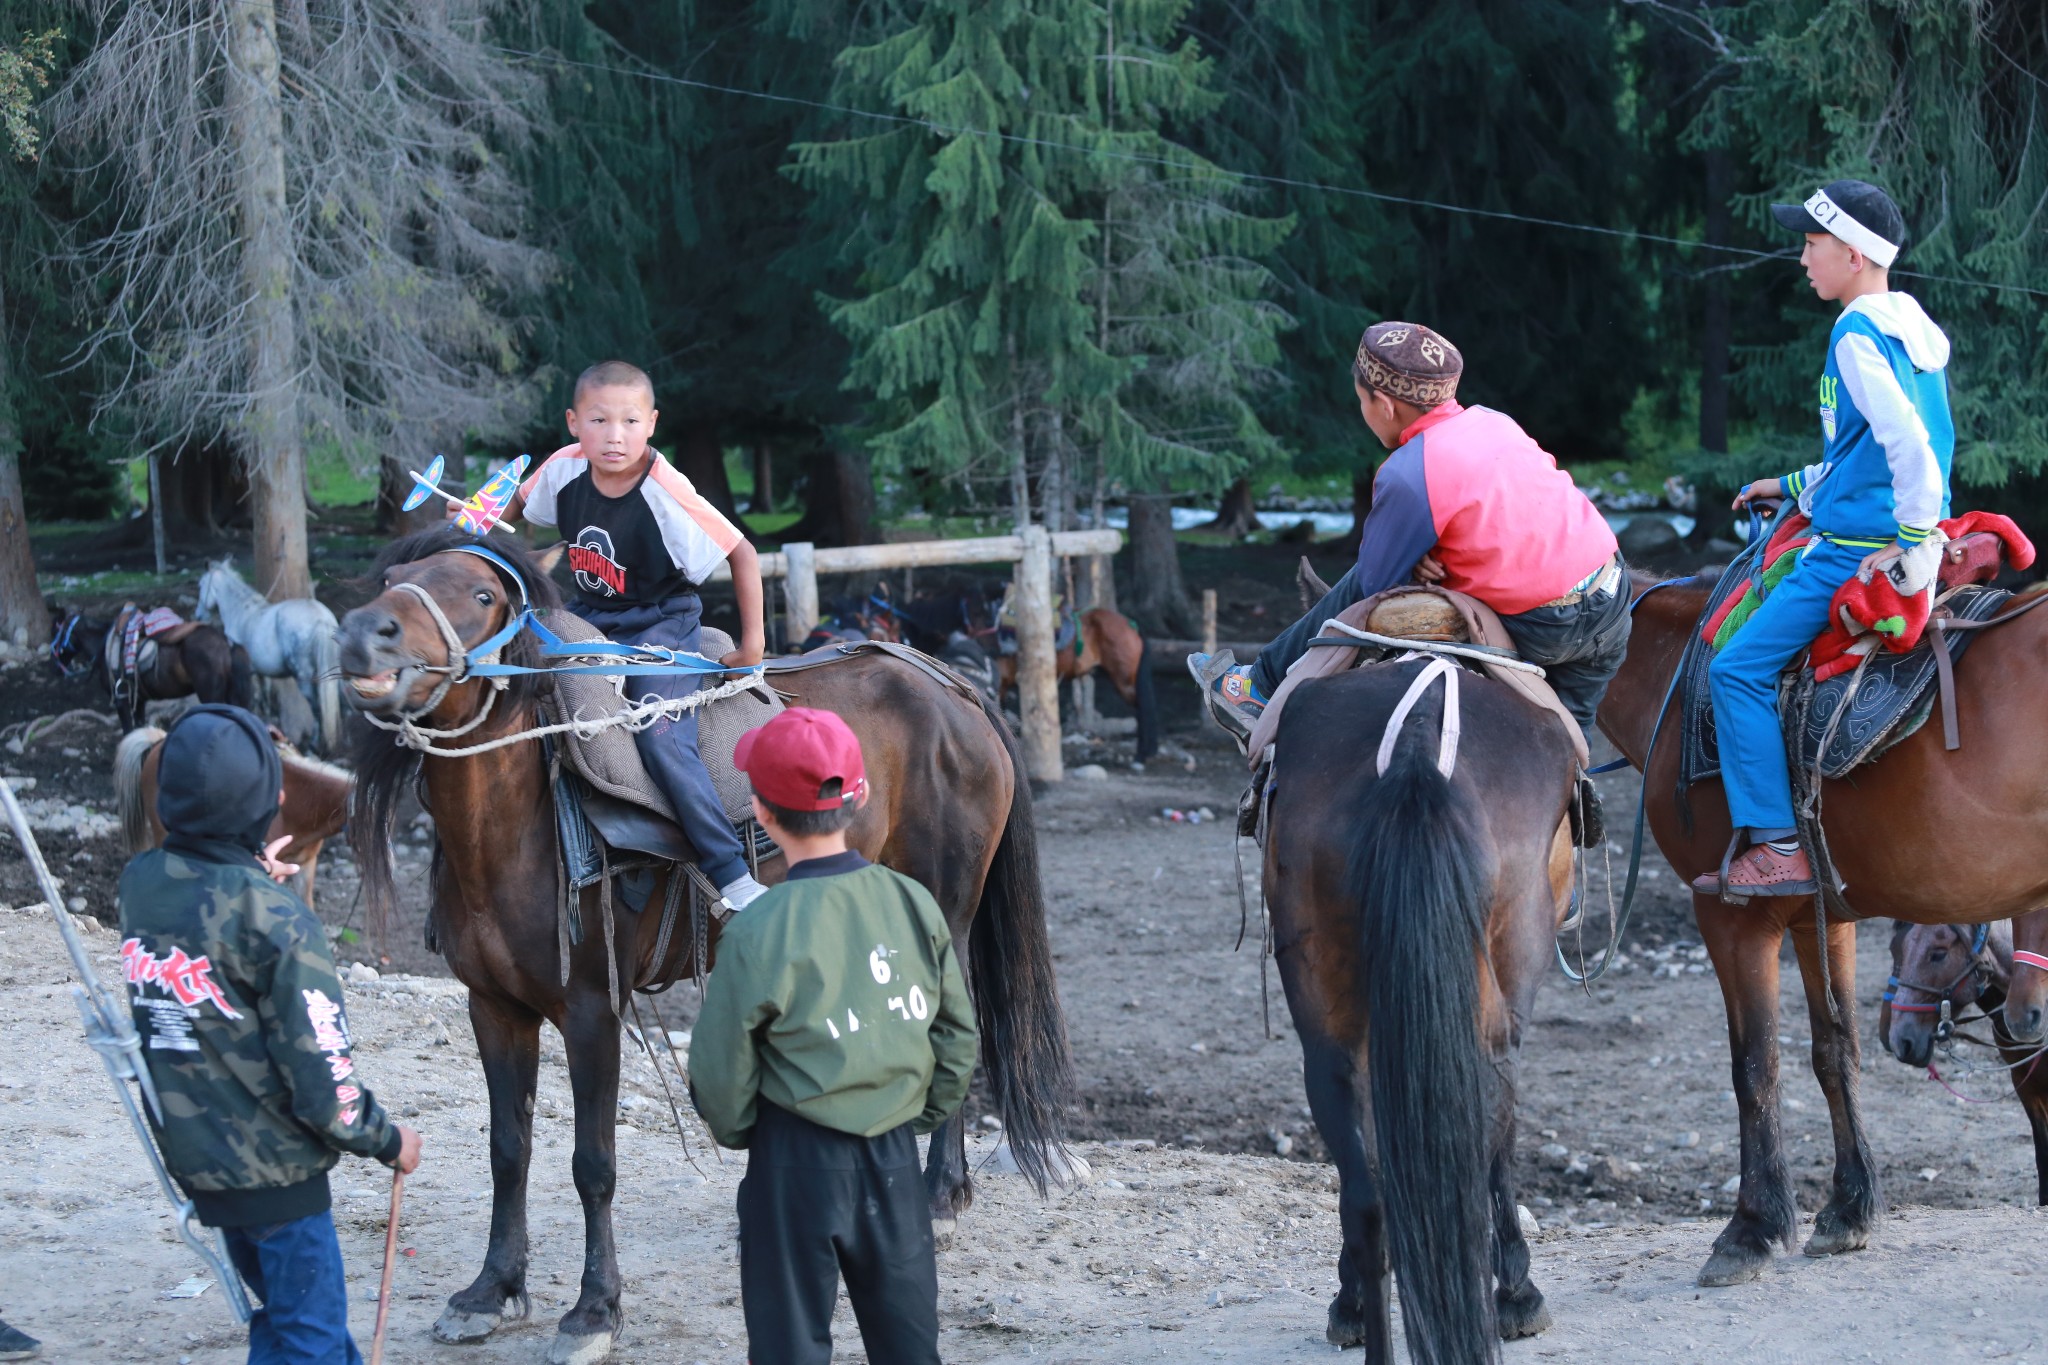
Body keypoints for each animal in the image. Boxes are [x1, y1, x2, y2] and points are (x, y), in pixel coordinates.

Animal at [50, 601, 251, 732]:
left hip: (211, 696)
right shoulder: (139, 700)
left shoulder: (121, 700)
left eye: (54, 631)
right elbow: (139, 730)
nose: (52, 665)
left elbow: (128, 732)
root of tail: (227, 643)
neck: (103, 643)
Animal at [193, 564, 342, 757]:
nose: (198, 615)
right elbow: (265, 699)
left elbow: (254, 699)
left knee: (316, 708)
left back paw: (314, 746)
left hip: (304, 677)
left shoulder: (247, 673)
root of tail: (322, 618)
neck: (242, 613)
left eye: (201, 585)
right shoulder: (261, 672)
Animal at [331, 527, 1073, 1365]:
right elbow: (508, 1149)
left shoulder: (592, 1010)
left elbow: (593, 1163)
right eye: (394, 576)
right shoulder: (492, 1006)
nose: (362, 635)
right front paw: (492, 1288)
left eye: (483, 594)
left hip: (945, 907)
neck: (521, 819)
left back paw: (942, 1197)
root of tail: (951, 685)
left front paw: (595, 1310)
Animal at [1253, 654, 1572, 1358]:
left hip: (1327, 1006)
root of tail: (1419, 747)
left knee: (1362, 1180)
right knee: (1488, 1115)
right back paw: (1509, 1293)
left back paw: (1359, 1311)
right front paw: (1518, 1294)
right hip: (1504, 979)